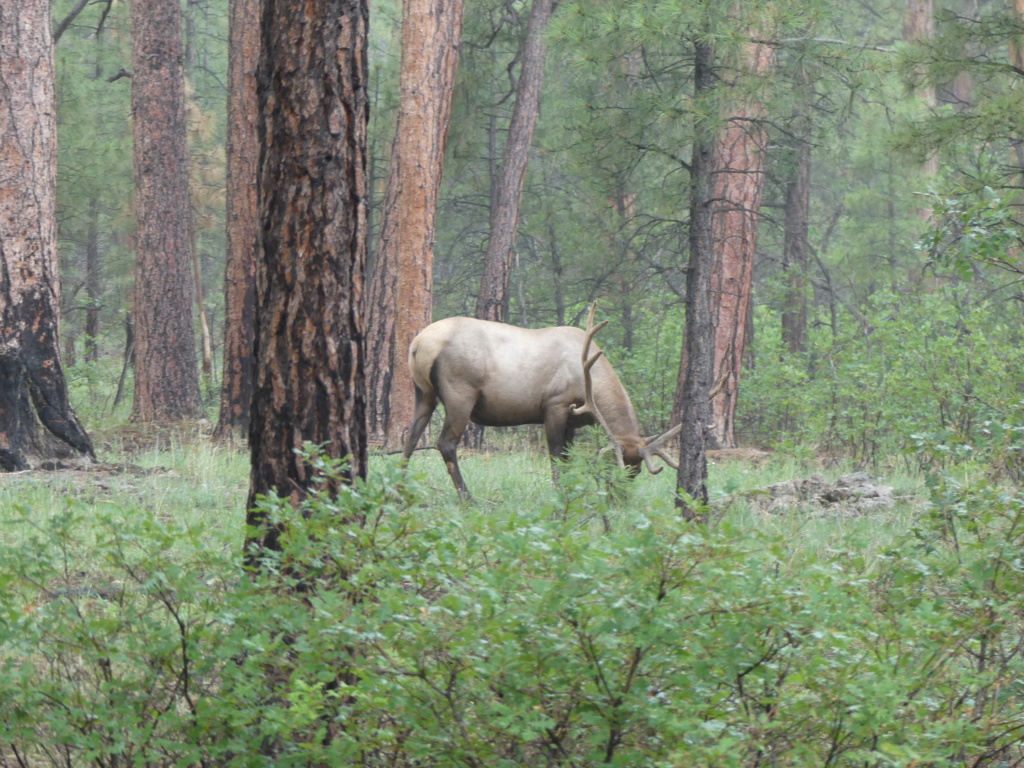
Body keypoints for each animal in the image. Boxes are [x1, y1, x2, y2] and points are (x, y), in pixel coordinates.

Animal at [399, 303, 679, 501]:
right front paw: (558, 497)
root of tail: (418, 344)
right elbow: (555, 456)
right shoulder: (555, 406)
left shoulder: (571, 422)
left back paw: (398, 489)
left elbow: (567, 458)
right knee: (445, 443)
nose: (620, 500)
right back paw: (468, 499)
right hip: (460, 393)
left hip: (423, 392)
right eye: (614, 467)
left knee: (411, 436)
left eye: (637, 471)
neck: (588, 381)